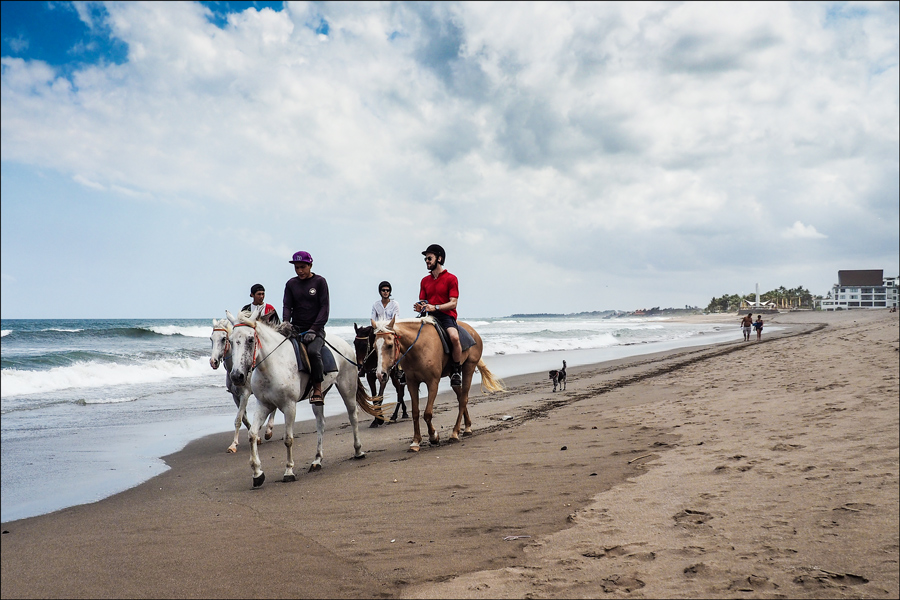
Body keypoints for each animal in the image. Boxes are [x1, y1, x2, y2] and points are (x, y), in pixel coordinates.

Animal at [209, 317, 275, 453]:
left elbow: (238, 419)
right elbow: (243, 418)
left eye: (224, 339)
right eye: (211, 338)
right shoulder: (235, 396)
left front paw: (233, 445)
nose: (213, 362)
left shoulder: (245, 394)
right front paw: (257, 438)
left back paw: (269, 430)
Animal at [227, 306, 383, 487]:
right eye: (230, 340)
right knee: (321, 424)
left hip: (347, 389)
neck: (272, 364)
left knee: (353, 417)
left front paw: (288, 471)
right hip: (319, 396)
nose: (237, 376)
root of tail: (346, 347)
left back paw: (358, 451)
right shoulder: (263, 405)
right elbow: (252, 435)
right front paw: (257, 473)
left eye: (251, 339)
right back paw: (317, 460)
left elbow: (288, 439)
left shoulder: (289, 406)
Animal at [370, 315, 505, 451]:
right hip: (452, 374)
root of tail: (473, 332)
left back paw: (455, 433)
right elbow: (415, 412)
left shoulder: (433, 382)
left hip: (469, 367)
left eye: (389, 345)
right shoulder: (412, 383)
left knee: (463, 399)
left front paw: (433, 437)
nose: (380, 374)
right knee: (460, 395)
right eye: (374, 347)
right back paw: (467, 427)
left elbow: (427, 413)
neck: (418, 347)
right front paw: (416, 442)